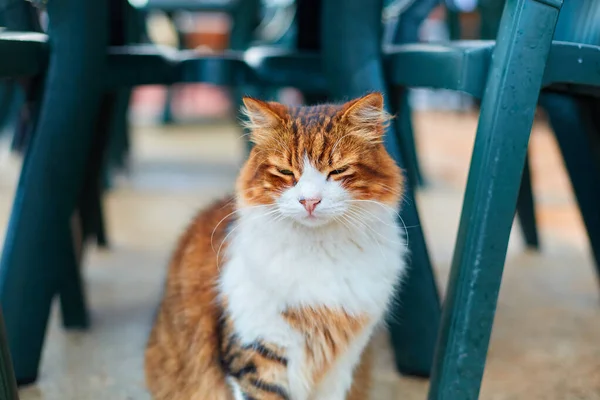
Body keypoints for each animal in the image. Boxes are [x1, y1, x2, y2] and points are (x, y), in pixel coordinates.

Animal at [145, 93, 408, 400]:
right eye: (285, 172)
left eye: (338, 171)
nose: (309, 201)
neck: (319, 253)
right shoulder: (257, 349)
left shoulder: (342, 363)